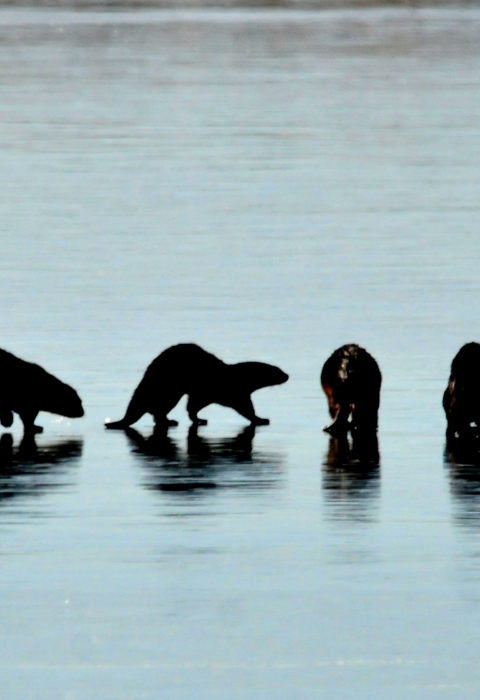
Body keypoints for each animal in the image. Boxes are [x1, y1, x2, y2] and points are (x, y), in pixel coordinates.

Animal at [105, 343, 288, 430]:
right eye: (278, 371)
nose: (287, 375)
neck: (234, 377)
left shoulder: (203, 394)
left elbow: (192, 407)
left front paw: (199, 419)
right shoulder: (233, 393)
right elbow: (246, 409)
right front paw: (260, 419)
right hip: (169, 391)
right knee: (158, 412)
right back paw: (169, 422)